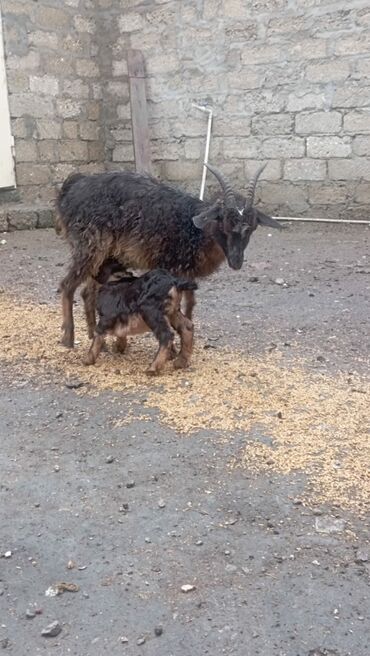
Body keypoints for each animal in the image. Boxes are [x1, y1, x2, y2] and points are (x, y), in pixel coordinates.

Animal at [56, 163, 278, 346]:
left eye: (252, 227)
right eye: (223, 223)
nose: (236, 261)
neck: (193, 228)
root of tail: (71, 188)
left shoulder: (187, 274)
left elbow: (190, 305)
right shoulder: (170, 266)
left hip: (105, 256)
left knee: (87, 292)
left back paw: (94, 337)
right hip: (88, 246)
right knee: (67, 285)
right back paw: (68, 338)